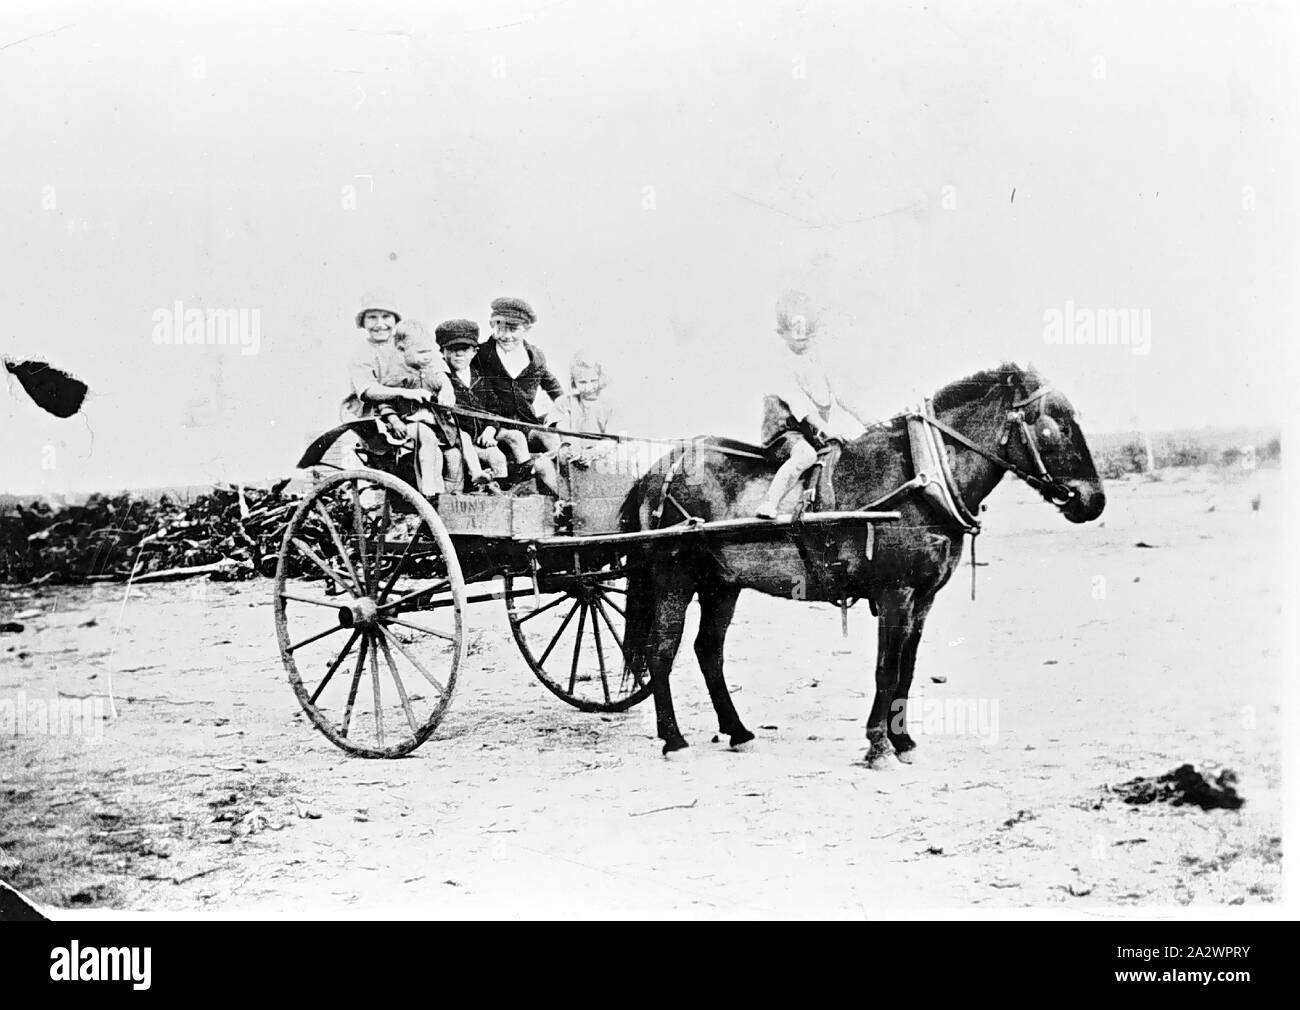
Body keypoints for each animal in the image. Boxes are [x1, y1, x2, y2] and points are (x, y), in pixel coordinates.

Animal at [618, 361, 1107, 764]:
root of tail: (659, 470)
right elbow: (885, 670)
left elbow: (906, 670)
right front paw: (877, 744)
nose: (1094, 500)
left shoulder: (923, 599)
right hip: (674, 579)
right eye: (1055, 426)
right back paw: (674, 739)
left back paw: (737, 731)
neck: (921, 479)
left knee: (708, 652)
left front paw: (903, 740)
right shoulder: (895, 593)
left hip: (722, 584)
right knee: (661, 651)